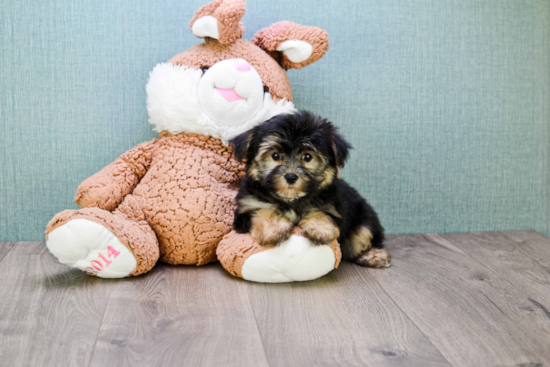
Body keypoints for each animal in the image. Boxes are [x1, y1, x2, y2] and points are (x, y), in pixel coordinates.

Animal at [230, 110, 392, 268]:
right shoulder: (247, 206)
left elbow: (321, 213)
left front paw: (320, 229)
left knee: (364, 235)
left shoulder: (332, 206)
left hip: (364, 216)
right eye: (275, 155)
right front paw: (274, 228)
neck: (291, 200)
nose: (290, 176)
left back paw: (374, 256)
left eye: (307, 157)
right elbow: (262, 211)